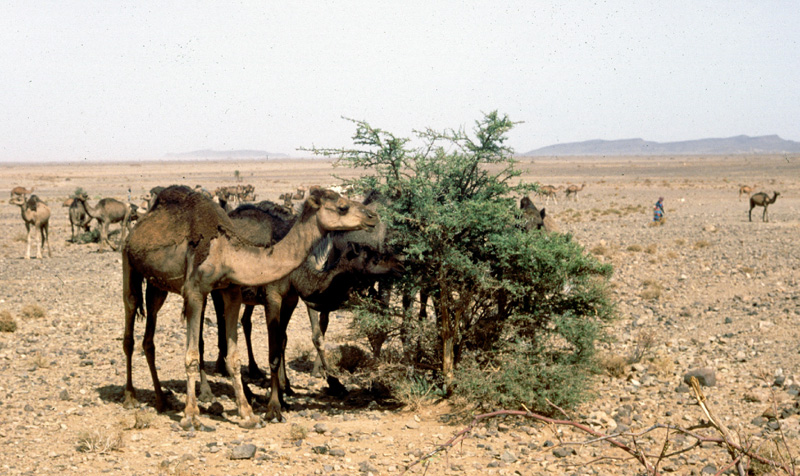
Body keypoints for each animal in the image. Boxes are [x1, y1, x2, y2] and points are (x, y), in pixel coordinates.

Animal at [122, 185, 378, 428]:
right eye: (342, 207)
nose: (373, 216)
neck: (226, 252)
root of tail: (138, 225)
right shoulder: (196, 291)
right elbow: (193, 355)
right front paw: (191, 416)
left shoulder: (233, 291)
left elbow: (238, 355)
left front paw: (248, 413)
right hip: (129, 261)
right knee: (131, 322)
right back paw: (133, 396)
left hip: (158, 285)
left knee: (149, 337)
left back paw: (161, 400)